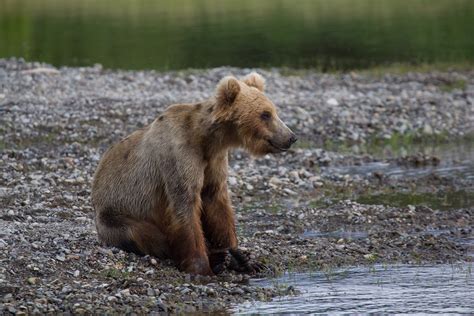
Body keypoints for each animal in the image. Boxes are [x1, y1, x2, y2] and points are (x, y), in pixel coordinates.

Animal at [92, 72, 296, 274]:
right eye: (265, 114)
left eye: (274, 111)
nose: (291, 137)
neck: (206, 139)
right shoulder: (179, 155)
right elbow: (185, 204)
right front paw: (202, 267)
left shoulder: (214, 161)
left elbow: (217, 202)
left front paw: (242, 256)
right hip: (115, 215)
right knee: (143, 234)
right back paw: (216, 259)